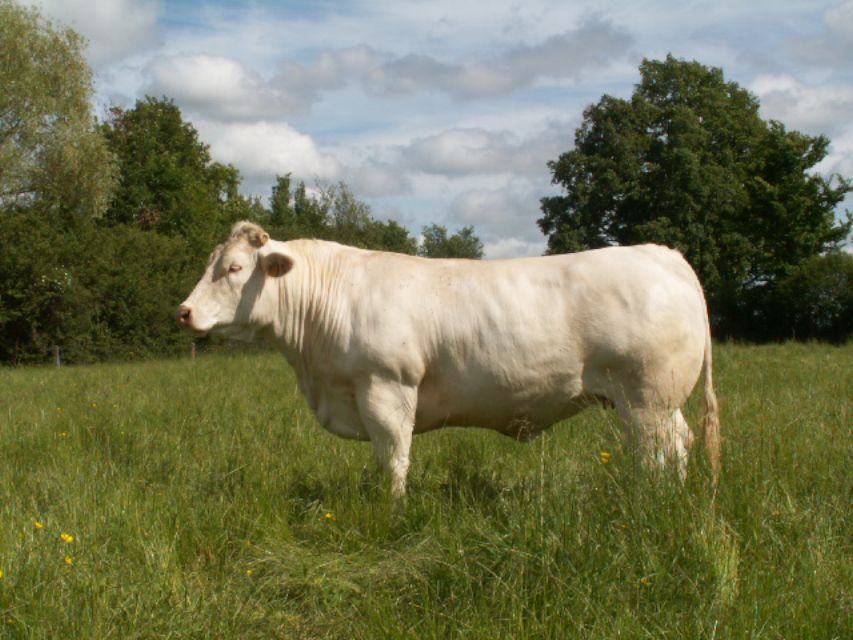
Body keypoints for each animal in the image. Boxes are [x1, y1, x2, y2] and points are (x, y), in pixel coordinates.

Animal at [178, 221, 721, 497]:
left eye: (234, 268)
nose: (183, 312)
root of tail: (661, 253)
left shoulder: (387, 388)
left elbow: (393, 458)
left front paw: (392, 510)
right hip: (653, 402)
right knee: (679, 445)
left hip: (647, 398)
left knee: (659, 453)